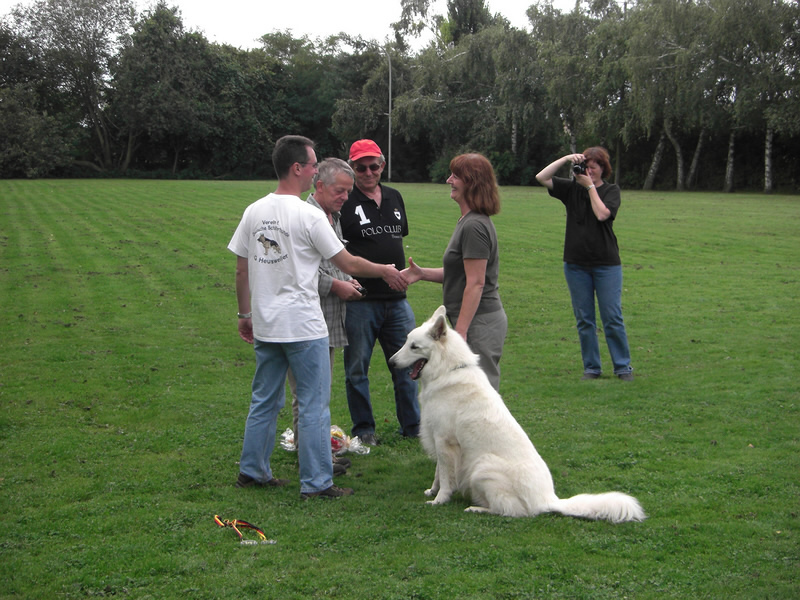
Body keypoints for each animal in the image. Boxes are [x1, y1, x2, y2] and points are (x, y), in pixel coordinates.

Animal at [389, 306, 645, 522]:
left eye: (414, 347)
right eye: (406, 342)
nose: (391, 362)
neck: (448, 370)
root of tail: (549, 500)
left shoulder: (444, 442)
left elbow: (445, 477)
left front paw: (439, 499)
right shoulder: (439, 441)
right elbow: (439, 474)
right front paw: (432, 490)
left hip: (482, 467)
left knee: (511, 512)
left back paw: (476, 508)